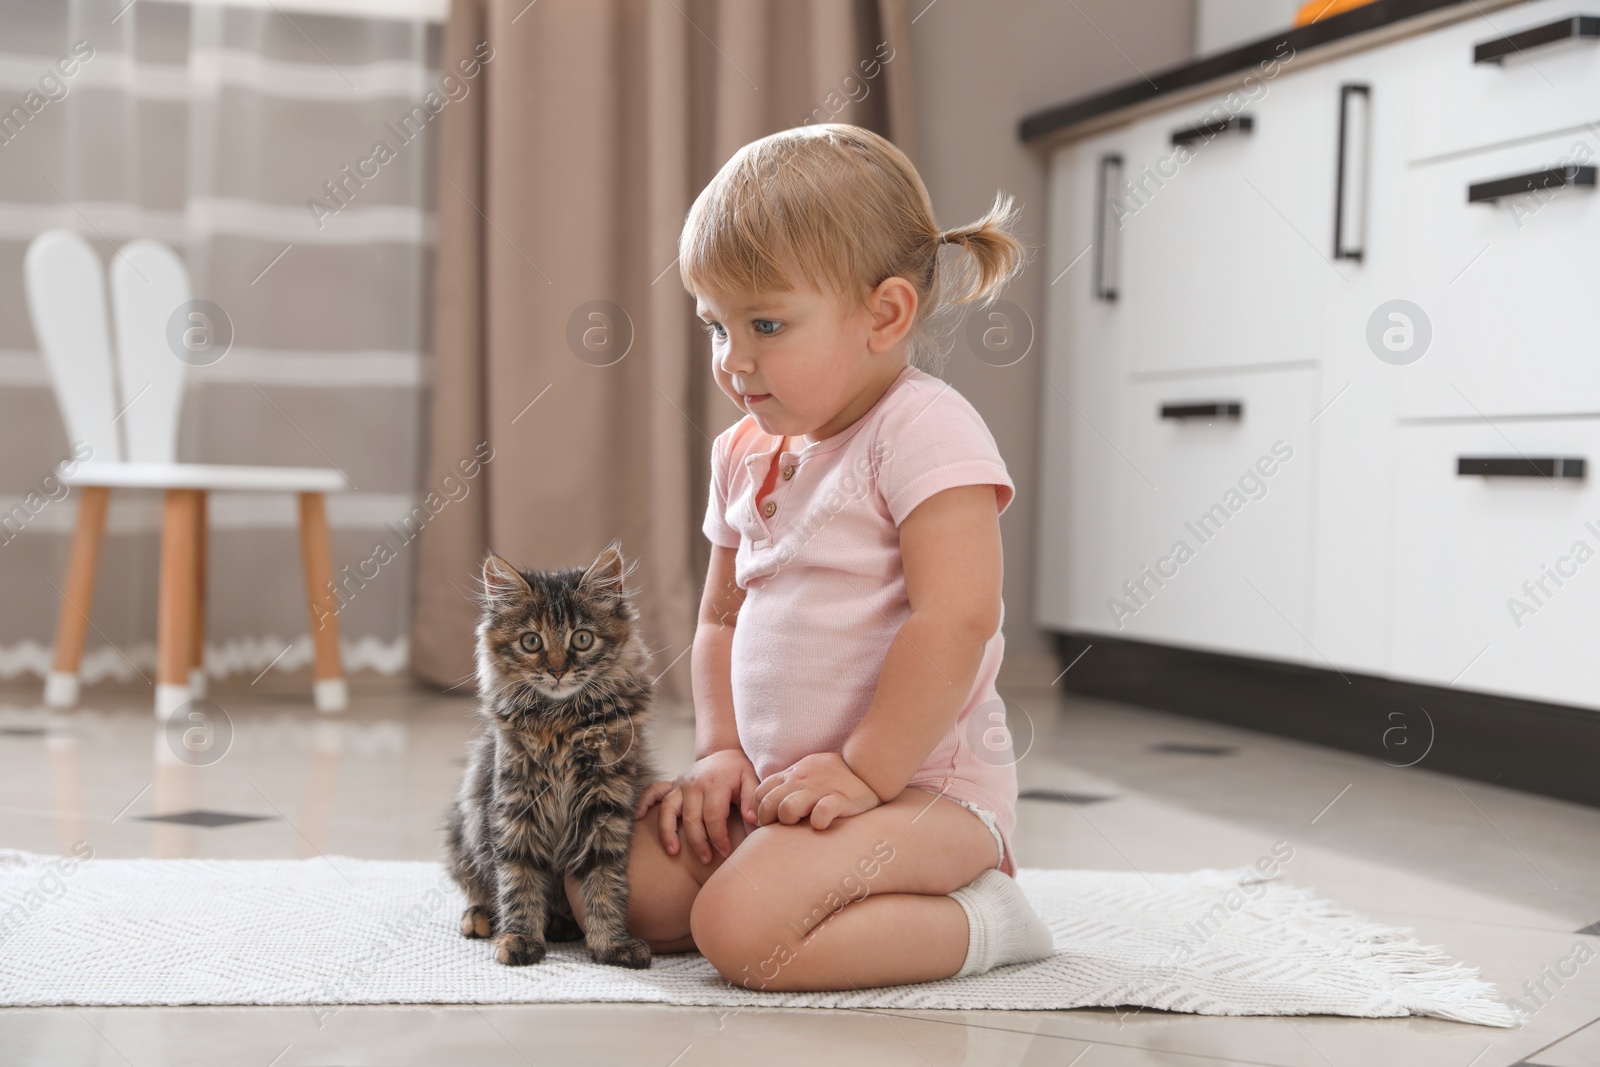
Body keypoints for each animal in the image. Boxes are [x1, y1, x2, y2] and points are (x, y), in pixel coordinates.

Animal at [444, 543, 656, 966]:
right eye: (531, 642)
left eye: (582, 639)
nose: (557, 670)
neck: (562, 723)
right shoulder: (515, 802)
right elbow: (518, 878)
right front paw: (519, 939)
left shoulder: (605, 805)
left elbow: (605, 880)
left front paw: (611, 944)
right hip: (464, 835)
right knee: (477, 886)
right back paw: (480, 919)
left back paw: (562, 924)